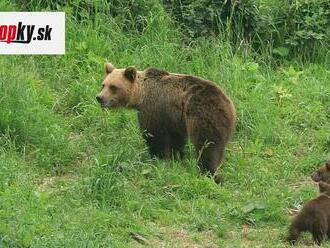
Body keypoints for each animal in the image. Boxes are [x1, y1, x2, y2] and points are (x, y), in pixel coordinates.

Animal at [95, 62, 235, 182]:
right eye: (103, 84)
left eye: (113, 87)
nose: (99, 97)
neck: (140, 95)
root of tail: (225, 103)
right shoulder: (173, 118)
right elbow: (176, 140)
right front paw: (176, 157)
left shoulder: (153, 109)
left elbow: (153, 136)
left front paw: (157, 158)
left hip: (202, 116)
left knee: (207, 146)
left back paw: (210, 173)